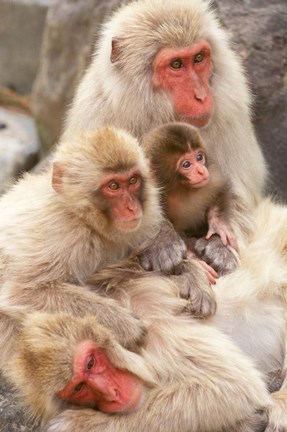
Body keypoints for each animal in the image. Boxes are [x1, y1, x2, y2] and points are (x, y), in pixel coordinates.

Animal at [62, 0, 268, 274]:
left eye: (199, 58)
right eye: (176, 65)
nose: (201, 95)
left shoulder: (229, 107)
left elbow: (238, 187)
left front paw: (220, 243)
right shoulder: (97, 115)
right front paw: (161, 240)